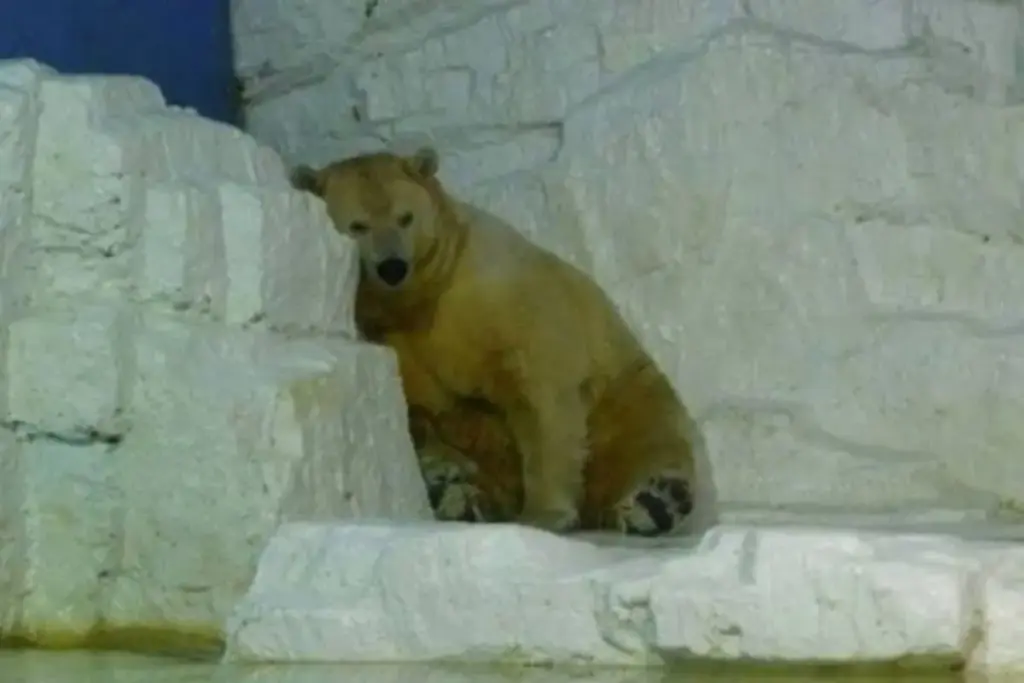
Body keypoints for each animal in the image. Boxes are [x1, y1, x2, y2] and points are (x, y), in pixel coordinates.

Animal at [291, 146, 710, 536]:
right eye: (357, 225)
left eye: (405, 217)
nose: (392, 267)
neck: (417, 300)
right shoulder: (394, 340)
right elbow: (418, 413)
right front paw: (447, 475)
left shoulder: (496, 291)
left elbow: (538, 389)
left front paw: (545, 511)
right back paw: (460, 497)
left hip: (622, 391)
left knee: (644, 433)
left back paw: (657, 499)